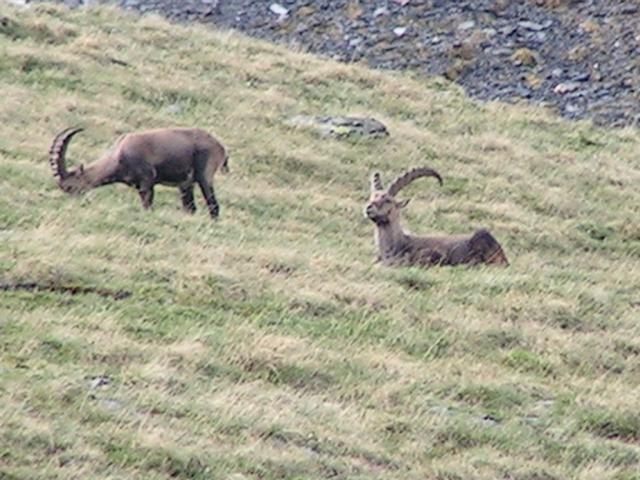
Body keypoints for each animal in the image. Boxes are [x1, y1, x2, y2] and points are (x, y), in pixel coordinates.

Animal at [48, 127, 229, 218]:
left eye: (69, 186)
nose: (73, 202)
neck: (119, 155)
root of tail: (220, 147)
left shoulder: (147, 181)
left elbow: (147, 204)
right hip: (186, 184)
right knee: (191, 208)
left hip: (204, 177)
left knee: (214, 206)